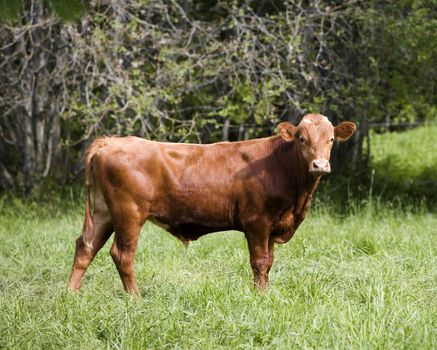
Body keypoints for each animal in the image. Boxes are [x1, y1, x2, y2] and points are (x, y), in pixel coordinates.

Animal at [67, 113, 354, 294]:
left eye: (331, 140)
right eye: (302, 139)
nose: (320, 165)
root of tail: (111, 141)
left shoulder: (273, 226)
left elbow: (269, 262)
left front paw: (265, 292)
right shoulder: (257, 223)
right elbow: (260, 262)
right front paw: (260, 297)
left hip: (105, 212)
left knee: (86, 247)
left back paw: (71, 294)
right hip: (129, 213)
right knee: (122, 254)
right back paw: (135, 298)